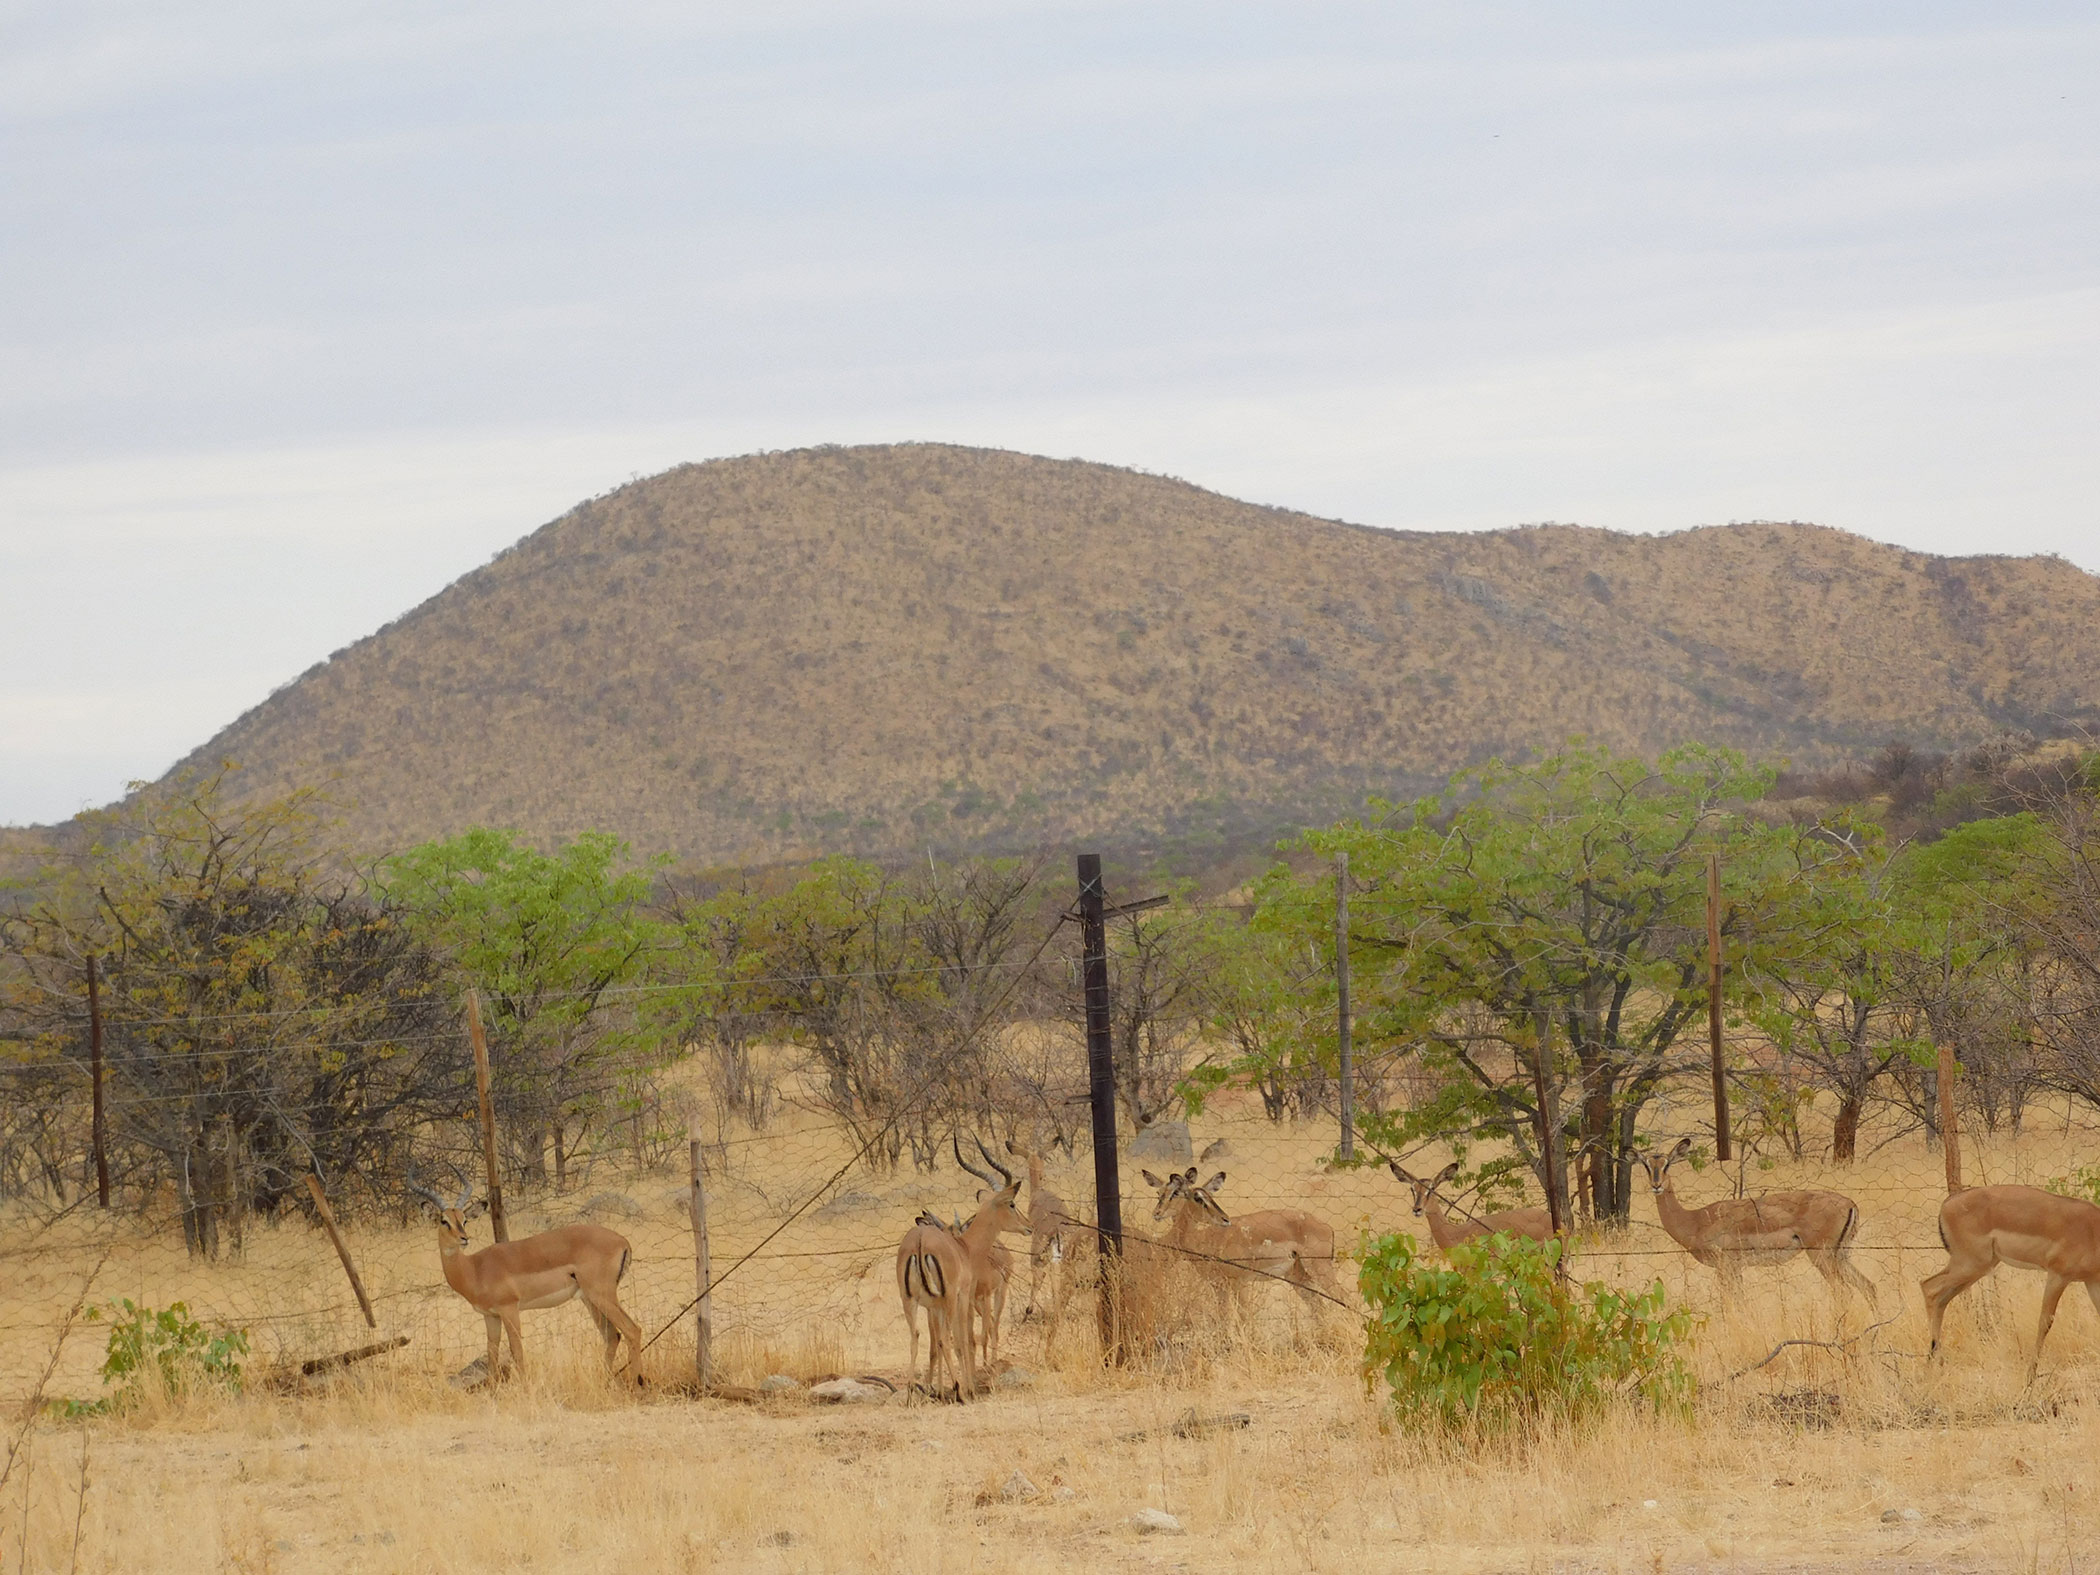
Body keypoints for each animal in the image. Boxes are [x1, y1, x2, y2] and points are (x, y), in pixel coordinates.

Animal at [405, 1176, 644, 1384]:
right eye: (443, 1220)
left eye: (464, 1220)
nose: (464, 1239)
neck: (474, 1268)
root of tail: (623, 1241)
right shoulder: (490, 1316)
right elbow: (492, 1354)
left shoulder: (510, 1309)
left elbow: (517, 1351)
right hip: (589, 1299)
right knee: (613, 1336)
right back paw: (606, 1381)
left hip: (601, 1295)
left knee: (633, 1330)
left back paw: (636, 1384)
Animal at [1142, 1167, 1342, 1306]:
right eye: (1159, 1193)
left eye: (1175, 1193)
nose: (1157, 1213)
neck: (1204, 1238)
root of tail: (1327, 1227)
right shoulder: (1219, 1286)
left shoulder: (1240, 1283)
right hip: (1298, 1276)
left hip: (1320, 1269)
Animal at [1628, 1139, 1877, 1308]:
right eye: (1646, 1165)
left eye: (1667, 1164)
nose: (1656, 1185)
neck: (1696, 1220)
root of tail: (1850, 1203)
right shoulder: (1736, 1268)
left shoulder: (1726, 1266)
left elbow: (1731, 1303)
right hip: (1841, 1256)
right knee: (1869, 1286)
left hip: (1821, 1256)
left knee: (1844, 1293)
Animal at [1922, 1184, 2100, 1379]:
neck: (2092, 1229)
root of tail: (1947, 1204)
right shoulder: (2057, 1276)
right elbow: (2045, 1322)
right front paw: (2030, 1375)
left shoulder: (2092, 1282)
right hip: (1969, 1265)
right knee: (1928, 1287)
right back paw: (1935, 1364)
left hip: (1976, 1268)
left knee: (1941, 1299)